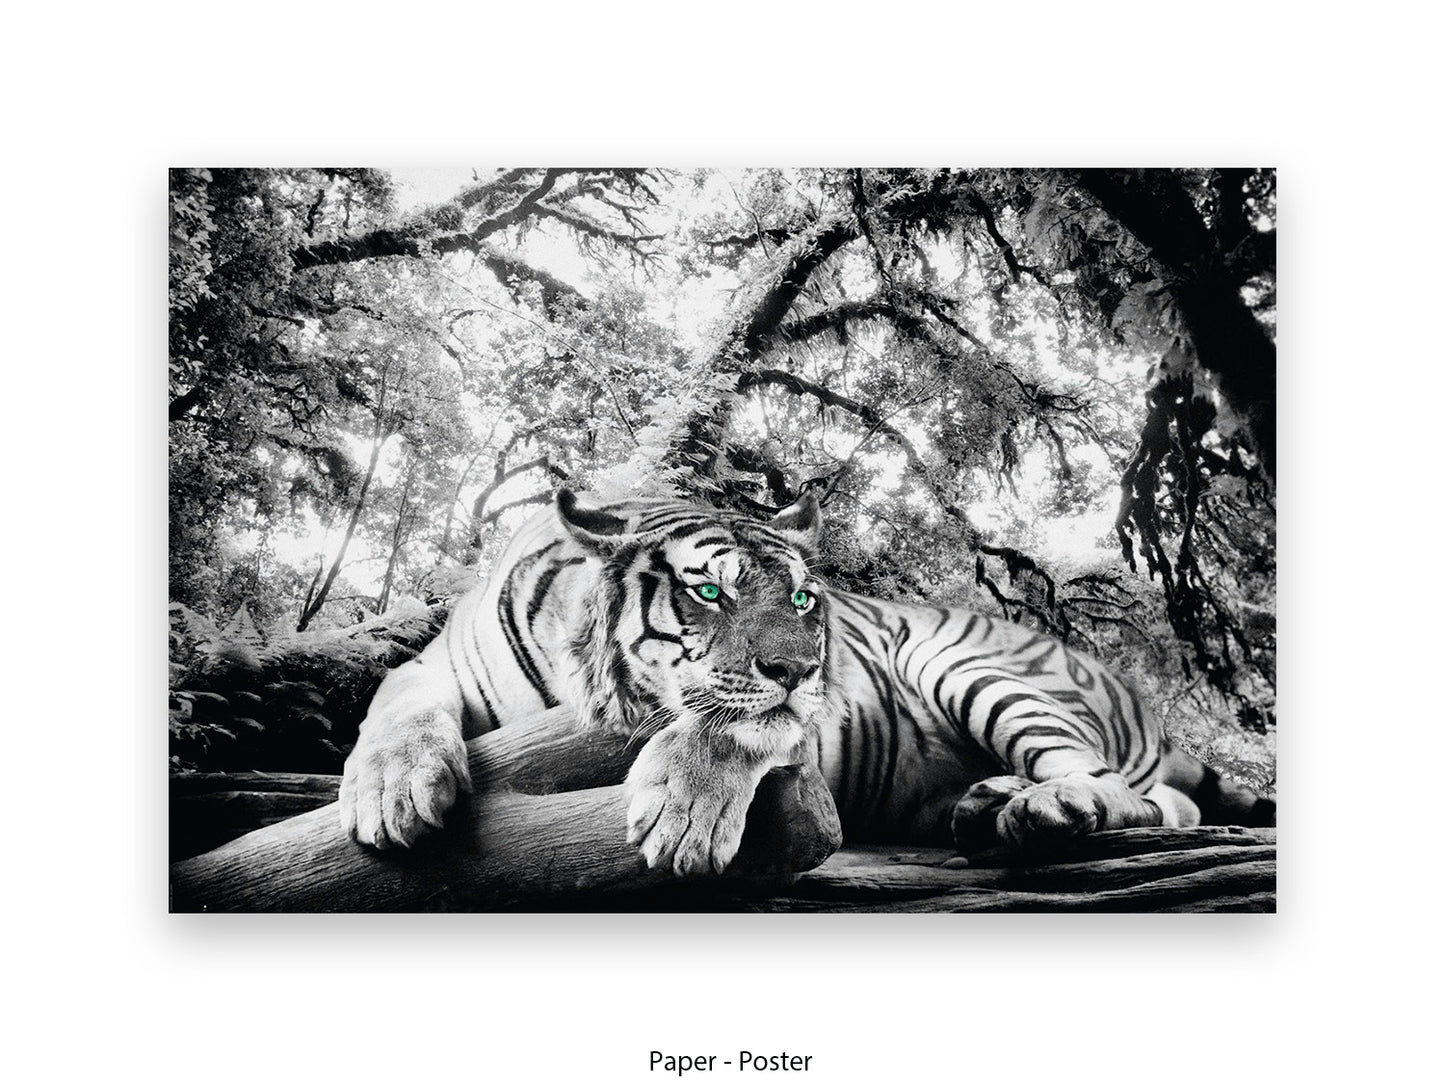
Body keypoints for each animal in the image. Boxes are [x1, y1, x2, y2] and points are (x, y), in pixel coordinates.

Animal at [339, 488, 1274, 875]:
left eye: (798, 597)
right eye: (708, 591)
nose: (798, 668)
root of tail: (1140, 697)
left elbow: (728, 726)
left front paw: (683, 817)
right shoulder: (433, 665)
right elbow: (395, 702)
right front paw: (392, 792)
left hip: (966, 666)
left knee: (1123, 790)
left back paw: (1045, 808)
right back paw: (984, 803)